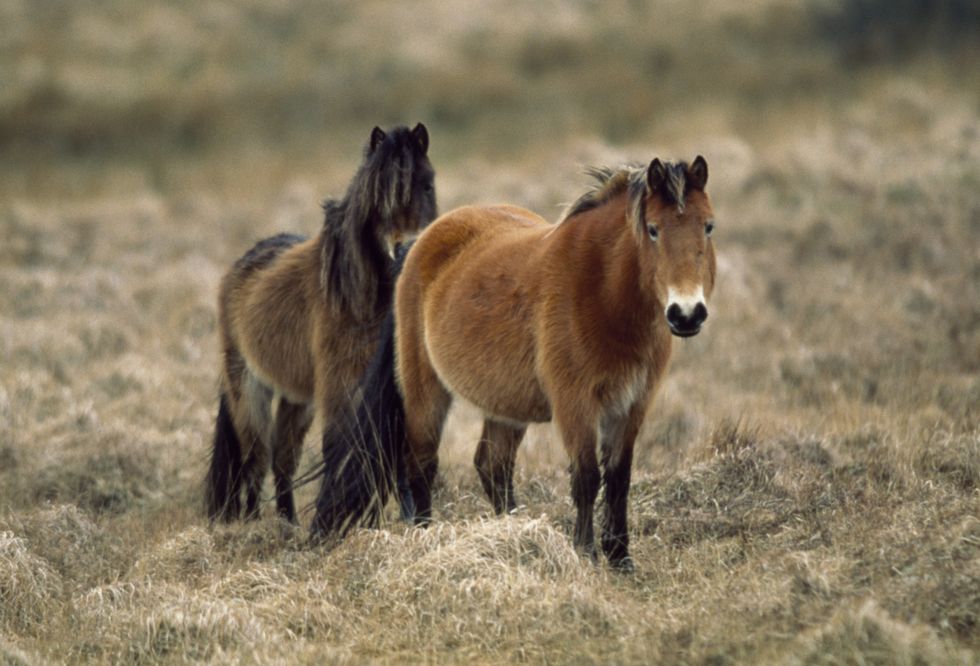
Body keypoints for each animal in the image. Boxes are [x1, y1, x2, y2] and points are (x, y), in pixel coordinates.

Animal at [205, 123, 437, 524]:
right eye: (379, 192)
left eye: (426, 184)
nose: (408, 247)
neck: (357, 298)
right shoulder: (337, 385)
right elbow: (337, 446)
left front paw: (412, 520)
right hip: (250, 390)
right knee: (255, 458)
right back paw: (253, 522)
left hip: (297, 399)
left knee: (282, 458)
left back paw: (288, 523)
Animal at [313, 156, 716, 569]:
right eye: (652, 230)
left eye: (708, 226)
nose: (687, 314)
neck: (600, 291)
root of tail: (416, 244)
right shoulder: (575, 404)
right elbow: (587, 478)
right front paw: (586, 554)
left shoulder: (632, 405)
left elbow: (619, 479)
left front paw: (620, 558)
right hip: (425, 390)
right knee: (420, 465)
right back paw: (426, 538)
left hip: (505, 404)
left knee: (492, 466)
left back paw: (511, 532)